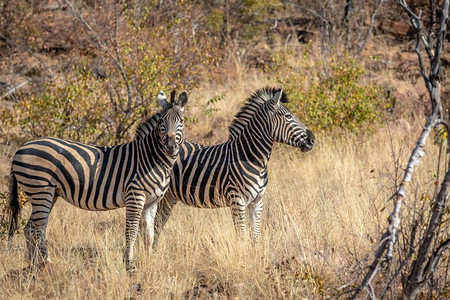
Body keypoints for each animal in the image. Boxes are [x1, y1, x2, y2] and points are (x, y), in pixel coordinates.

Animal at [8, 89, 188, 270]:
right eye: (162, 121)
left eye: (181, 121)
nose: (170, 147)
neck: (151, 158)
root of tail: (20, 149)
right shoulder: (135, 197)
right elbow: (132, 231)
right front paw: (129, 263)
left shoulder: (151, 202)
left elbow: (149, 234)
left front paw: (150, 260)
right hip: (40, 190)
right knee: (36, 228)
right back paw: (45, 262)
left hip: (49, 193)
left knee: (31, 227)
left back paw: (34, 265)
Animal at [135, 86, 314, 246]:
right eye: (288, 116)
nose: (312, 139)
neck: (252, 158)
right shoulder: (237, 201)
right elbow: (242, 237)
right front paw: (244, 259)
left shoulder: (257, 202)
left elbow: (255, 236)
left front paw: (257, 258)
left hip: (168, 197)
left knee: (156, 226)